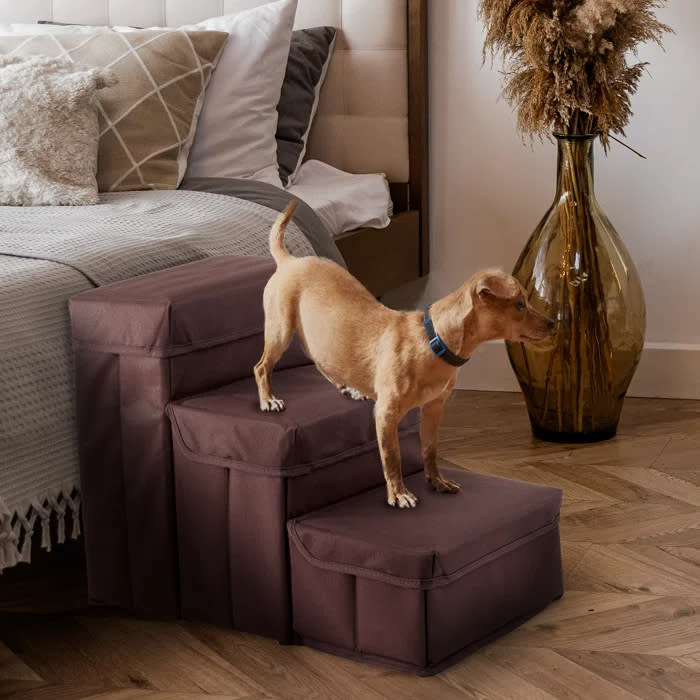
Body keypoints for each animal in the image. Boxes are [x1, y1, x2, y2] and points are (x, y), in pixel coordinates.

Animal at [254, 202, 556, 508]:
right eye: (520, 304)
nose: (553, 323)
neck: (434, 342)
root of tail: (289, 260)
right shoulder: (386, 414)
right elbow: (392, 457)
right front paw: (399, 494)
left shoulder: (434, 408)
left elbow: (430, 450)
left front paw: (437, 482)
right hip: (280, 330)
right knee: (261, 366)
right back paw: (268, 400)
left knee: (321, 361)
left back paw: (348, 388)